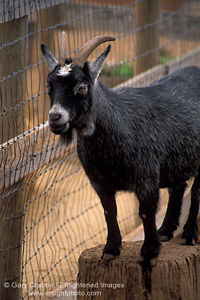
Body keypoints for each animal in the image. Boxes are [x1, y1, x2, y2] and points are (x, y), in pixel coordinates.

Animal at [40, 35, 200, 264]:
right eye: (49, 85)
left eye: (82, 87)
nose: (55, 117)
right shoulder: (100, 183)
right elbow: (110, 212)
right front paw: (111, 250)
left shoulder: (146, 179)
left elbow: (146, 213)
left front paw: (150, 253)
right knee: (178, 187)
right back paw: (166, 231)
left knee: (195, 191)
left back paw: (189, 234)